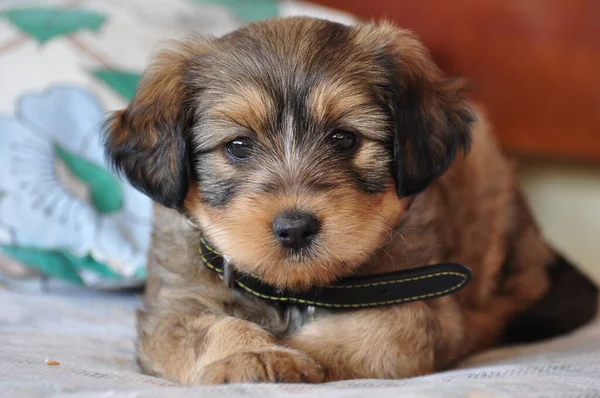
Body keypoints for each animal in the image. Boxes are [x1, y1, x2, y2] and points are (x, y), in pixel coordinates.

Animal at [103, 17, 596, 384]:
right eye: (238, 147)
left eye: (344, 138)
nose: (295, 228)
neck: (297, 293)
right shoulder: (173, 306)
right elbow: (208, 328)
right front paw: (253, 353)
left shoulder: (427, 305)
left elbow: (386, 330)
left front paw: (296, 351)